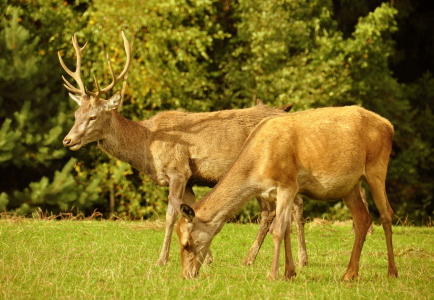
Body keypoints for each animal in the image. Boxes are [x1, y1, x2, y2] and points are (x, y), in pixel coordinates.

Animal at [58, 32, 306, 268]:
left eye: (93, 116)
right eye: (76, 114)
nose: (67, 140)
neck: (147, 146)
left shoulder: (178, 170)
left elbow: (170, 215)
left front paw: (162, 259)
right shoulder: (190, 179)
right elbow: (192, 210)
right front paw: (206, 258)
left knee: (282, 208)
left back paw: (279, 259)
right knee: (288, 206)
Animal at [169, 106, 396, 282]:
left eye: (186, 244)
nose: (186, 274)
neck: (258, 167)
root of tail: (389, 126)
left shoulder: (287, 184)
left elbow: (278, 230)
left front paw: (273, 274)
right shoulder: (275, 193)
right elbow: (286, 228)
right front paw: (289, 272)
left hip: (377, 168)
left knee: (386, 214)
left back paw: (392, 272)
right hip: (350, 186)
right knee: (363, 218)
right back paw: (349, 273)